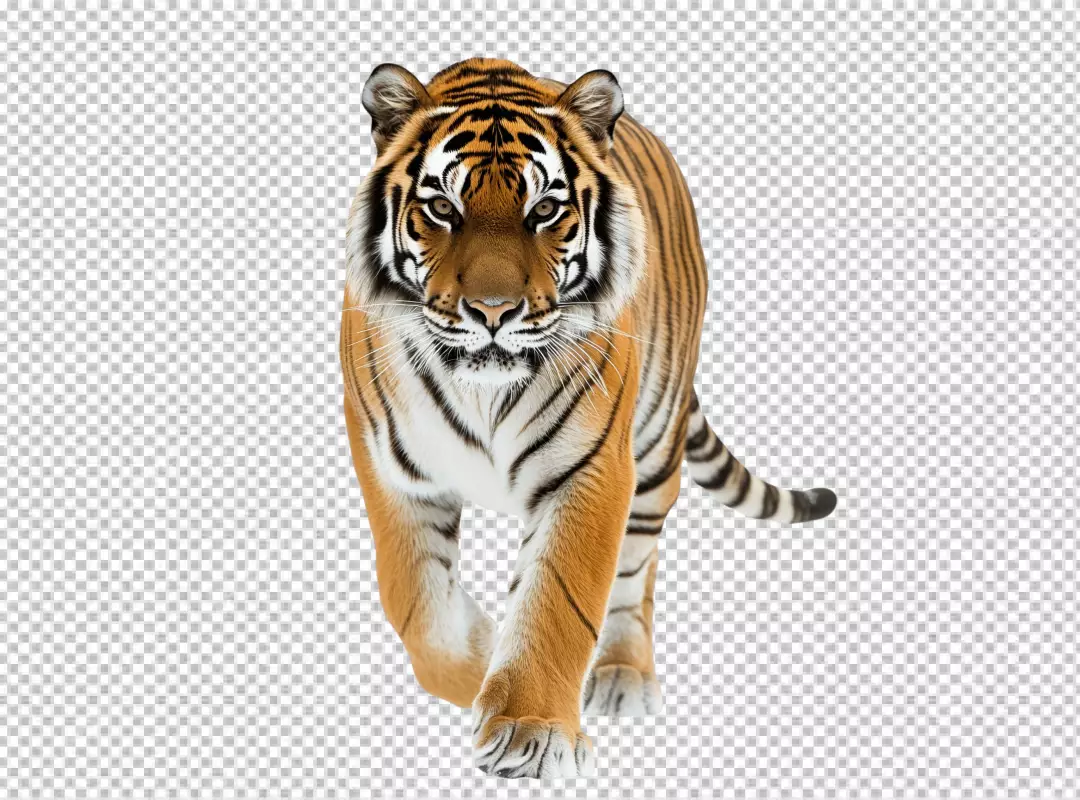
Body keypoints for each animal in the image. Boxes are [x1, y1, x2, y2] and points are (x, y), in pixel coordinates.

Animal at [341, 58, 837, 779]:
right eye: (442, 208)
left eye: (544, 210)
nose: (493, 312)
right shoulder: (396, 470)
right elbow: (417, 607)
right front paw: (482, 663)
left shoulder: (589, 469)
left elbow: (558, 601)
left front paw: (529, 731)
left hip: (655, 447)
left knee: (635, 573)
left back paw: (624, 675)